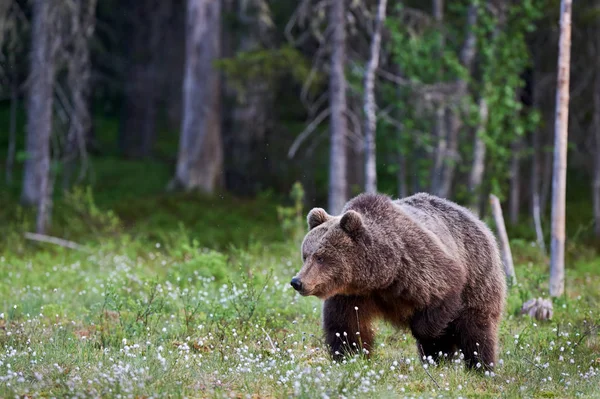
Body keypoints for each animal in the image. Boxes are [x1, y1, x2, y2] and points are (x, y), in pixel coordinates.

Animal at [290, 192, 506, 370]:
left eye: (320, 257)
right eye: (305, 255)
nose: (297, 281)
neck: (380, 278)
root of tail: (474, 217)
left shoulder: (418, 265)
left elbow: (439, 301)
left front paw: (428, 334)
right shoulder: (351, 295)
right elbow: (345, 326)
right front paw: (350, 356)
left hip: (478, 274)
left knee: (475, 328)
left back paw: (480, 367)